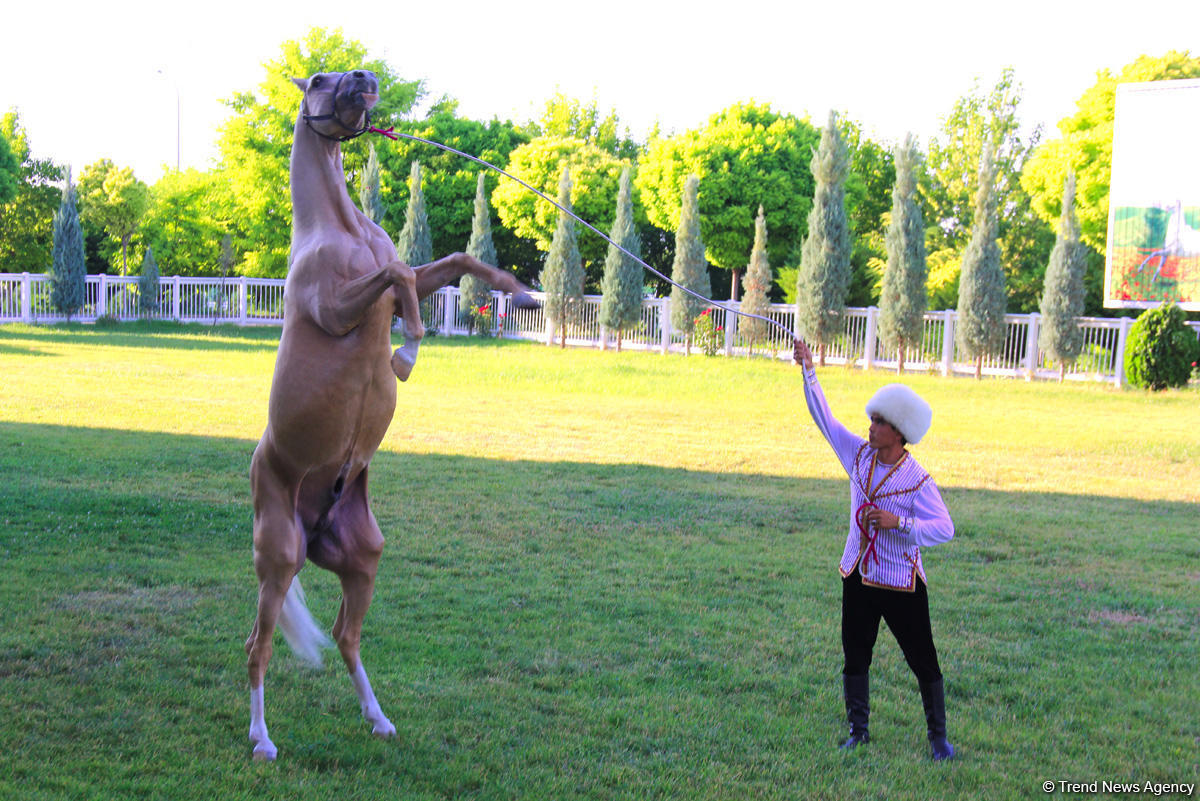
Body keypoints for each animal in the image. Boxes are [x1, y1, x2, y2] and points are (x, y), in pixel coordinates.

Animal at [246, 67, 532, 757]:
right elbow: (400, 275)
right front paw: (405, 352)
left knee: (345, 637)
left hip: (362, 558)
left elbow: (450, 263)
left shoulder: (398, 277)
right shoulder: (338, 306)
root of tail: (311, 523)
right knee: (257, 647)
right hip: (279, 557)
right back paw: (262, 739)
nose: (365, 79)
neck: (340, 230)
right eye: (317, 79)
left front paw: (521, 290)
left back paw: (378, 718)